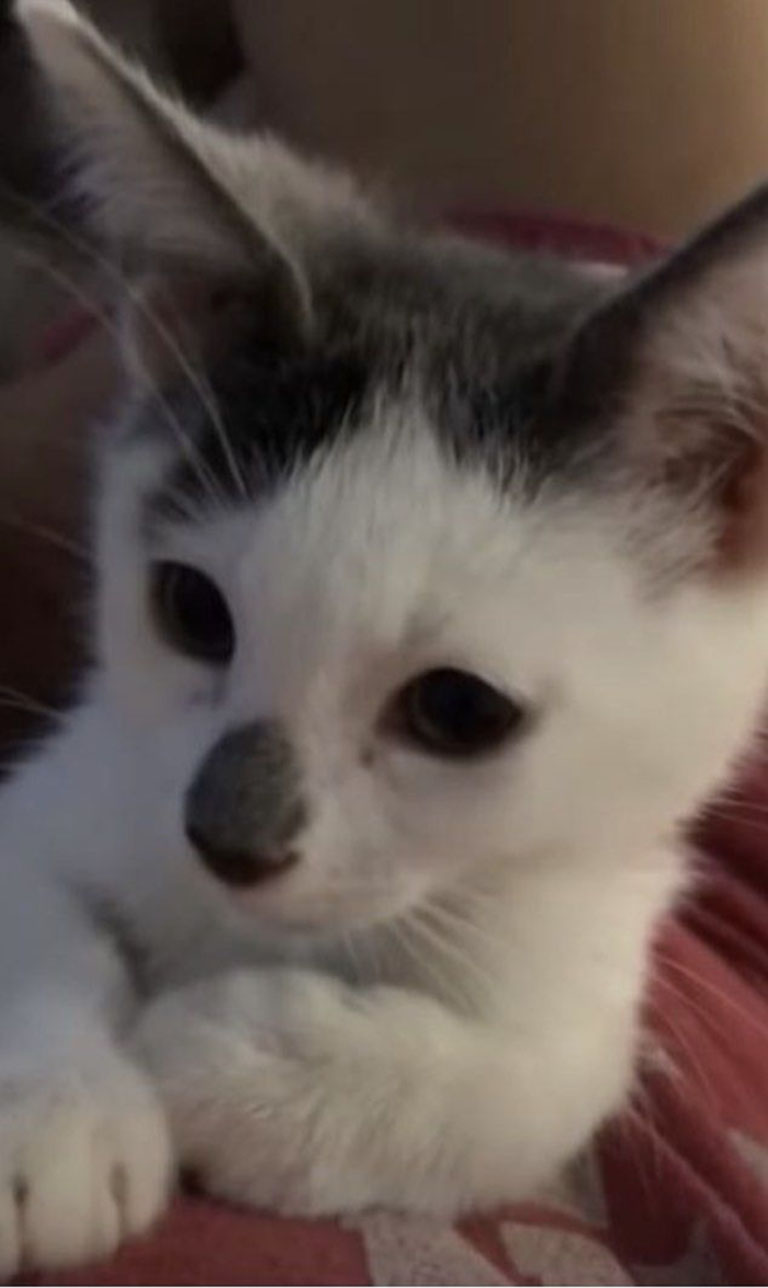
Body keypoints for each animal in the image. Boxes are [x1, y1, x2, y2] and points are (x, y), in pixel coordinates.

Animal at [0, 0, 768, 1275]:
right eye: (191, 609)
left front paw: (235, 1064)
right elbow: (25, 896)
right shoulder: (87, 773)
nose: (226, 834)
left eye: (457, 710)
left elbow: (531, 1084)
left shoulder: (591, 949)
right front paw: (52, 1107)